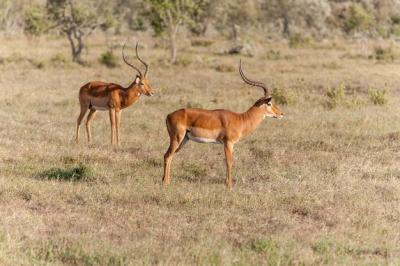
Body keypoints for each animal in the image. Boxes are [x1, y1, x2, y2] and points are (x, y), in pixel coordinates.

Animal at [161, 60, 282, 189]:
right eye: (269, 103)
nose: (281, 114)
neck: (241, 119)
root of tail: (168, 115)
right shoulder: (228, 143)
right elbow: (229, 162)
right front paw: (229, 186)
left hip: (184, 140)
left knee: (171, 156)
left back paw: (167, 181)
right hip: (177, 138)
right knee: (167, 155)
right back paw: (165, 183)